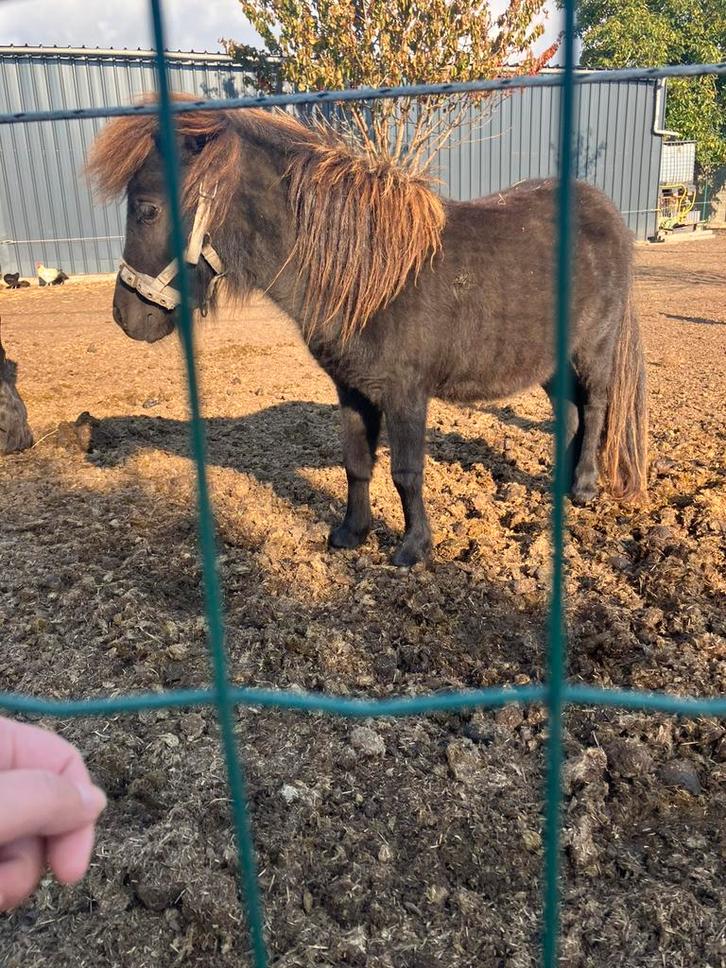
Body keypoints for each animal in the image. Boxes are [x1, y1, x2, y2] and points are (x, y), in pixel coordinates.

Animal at [87, 97, 648, 566]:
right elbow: (356, 462)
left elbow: (406, 472)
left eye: (147, 209)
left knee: (596, 407)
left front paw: (413, 547)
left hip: (593, 350)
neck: (368, 276)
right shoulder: (353, 389)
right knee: (570, 413)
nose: (125, 317)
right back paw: (557, 484)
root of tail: (606, 212)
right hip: (549, 361)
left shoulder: (406, 394)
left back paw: (584, 488)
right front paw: (350, 533)